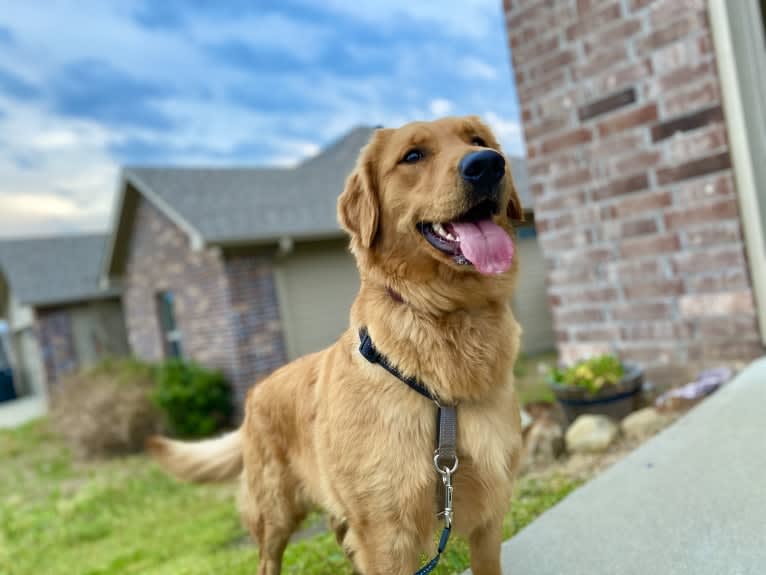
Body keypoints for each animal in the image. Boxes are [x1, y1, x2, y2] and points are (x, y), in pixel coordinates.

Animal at [148, 117, 524, 575]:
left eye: (478, 140)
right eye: (413, 155)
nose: (488, 164)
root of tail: (255, 392)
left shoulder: (489, 513)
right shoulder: (386, 534)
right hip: (274, 514)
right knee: (267, 561)